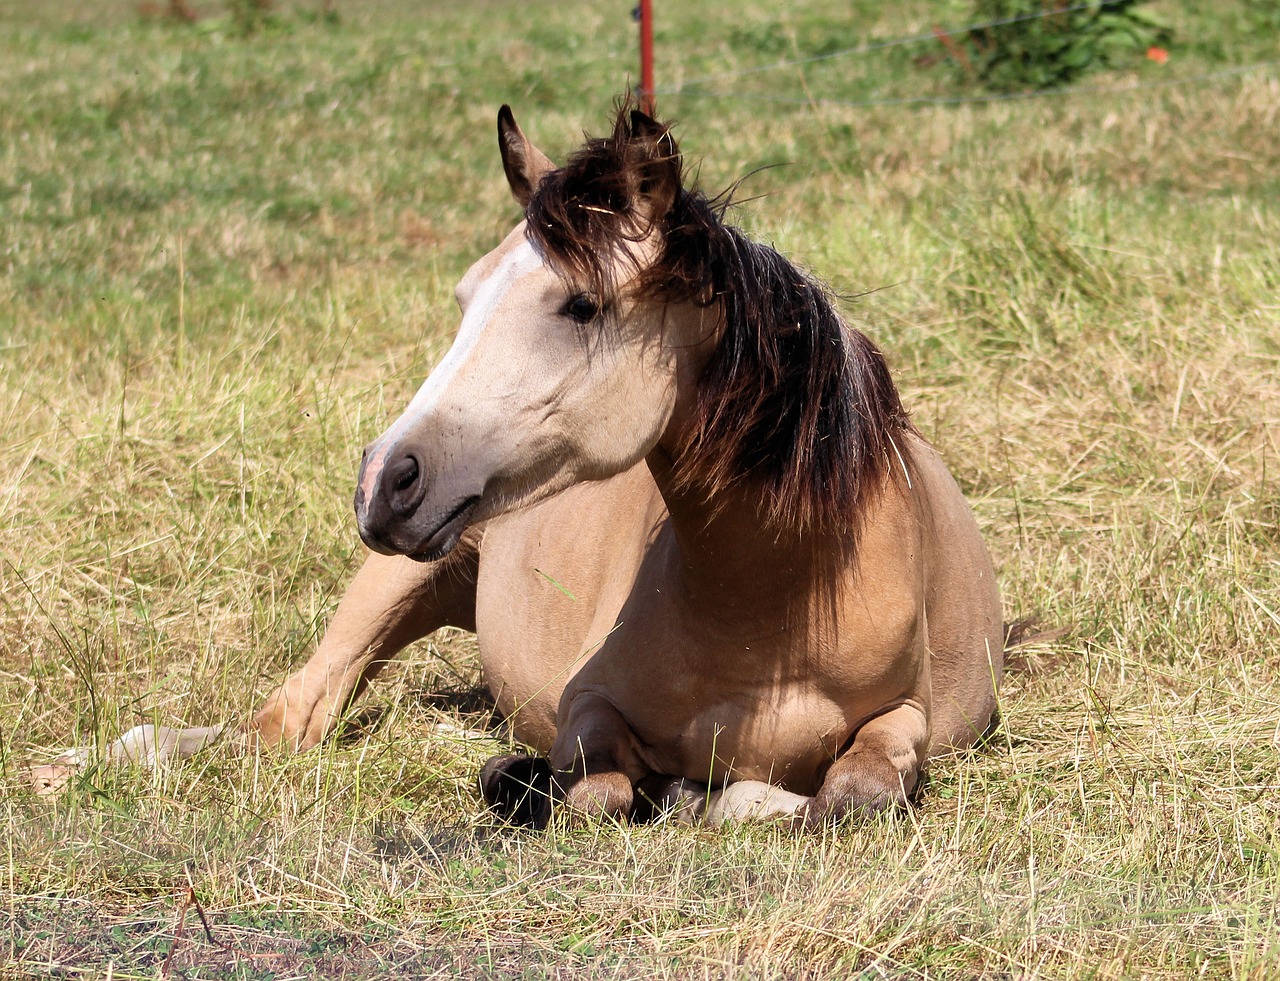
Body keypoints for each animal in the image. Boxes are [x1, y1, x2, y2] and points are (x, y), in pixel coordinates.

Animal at [30, 101, 1003, 829]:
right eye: (465, 296)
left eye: (581, 305)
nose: (384, 479)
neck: (772, 601)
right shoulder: (585, 710)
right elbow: (600, 788)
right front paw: (546, 780)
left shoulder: (906, 720)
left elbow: (853, 791)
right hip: (392, 585)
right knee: (286, 722)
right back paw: (87, 761)